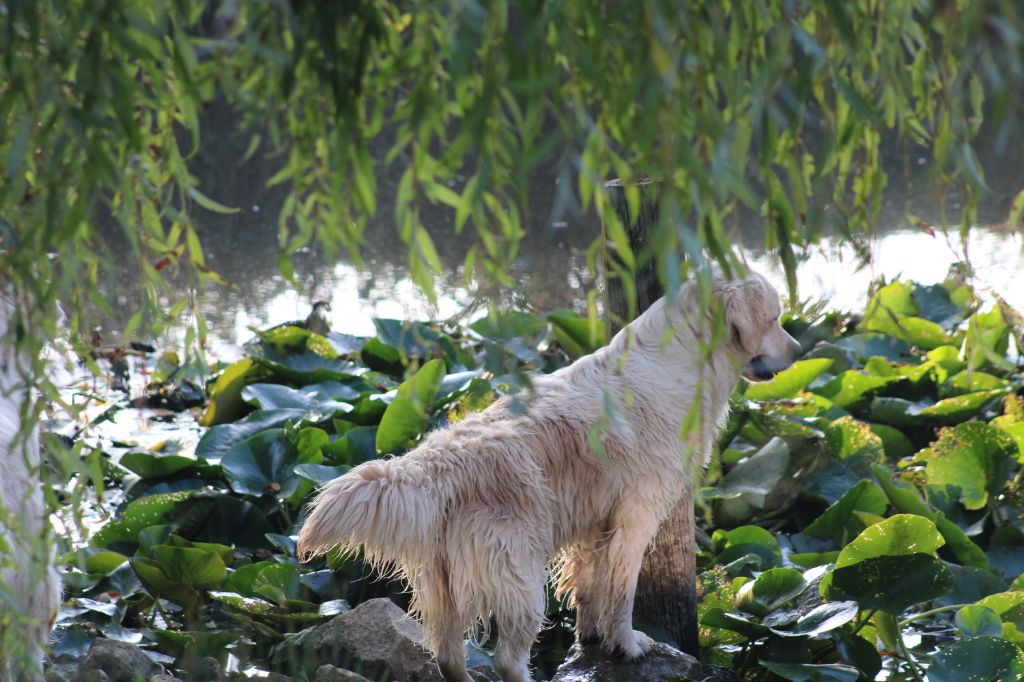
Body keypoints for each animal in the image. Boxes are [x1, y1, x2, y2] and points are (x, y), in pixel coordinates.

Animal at [296, 266, 798, 679]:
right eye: (775, 318)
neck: (680, 360)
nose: (797, 350)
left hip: (445, 582)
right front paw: (628, 644)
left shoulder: (593, 522)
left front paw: (591, 640)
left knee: (449, 655)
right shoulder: (635, 516)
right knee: (506, 658)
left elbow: (591, 588)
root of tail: (434, 463)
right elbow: (622, 593)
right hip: (517, 572)